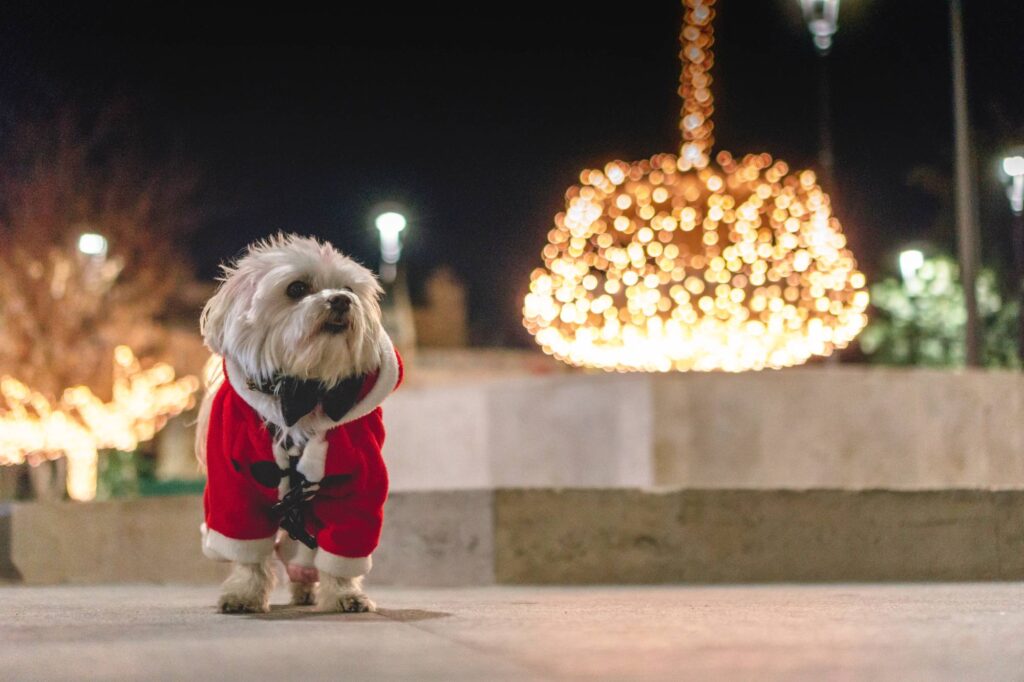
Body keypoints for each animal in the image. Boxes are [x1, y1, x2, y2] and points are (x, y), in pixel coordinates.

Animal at [193, 232, 401, 610]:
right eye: (297, 288)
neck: (304, 390)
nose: (341, 300)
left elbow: (346, 543)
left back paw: (306, 585)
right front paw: (244, 592)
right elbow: (246, 548)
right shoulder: (234, 486)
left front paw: (345, 594)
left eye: (348, 287)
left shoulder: (359, 482)